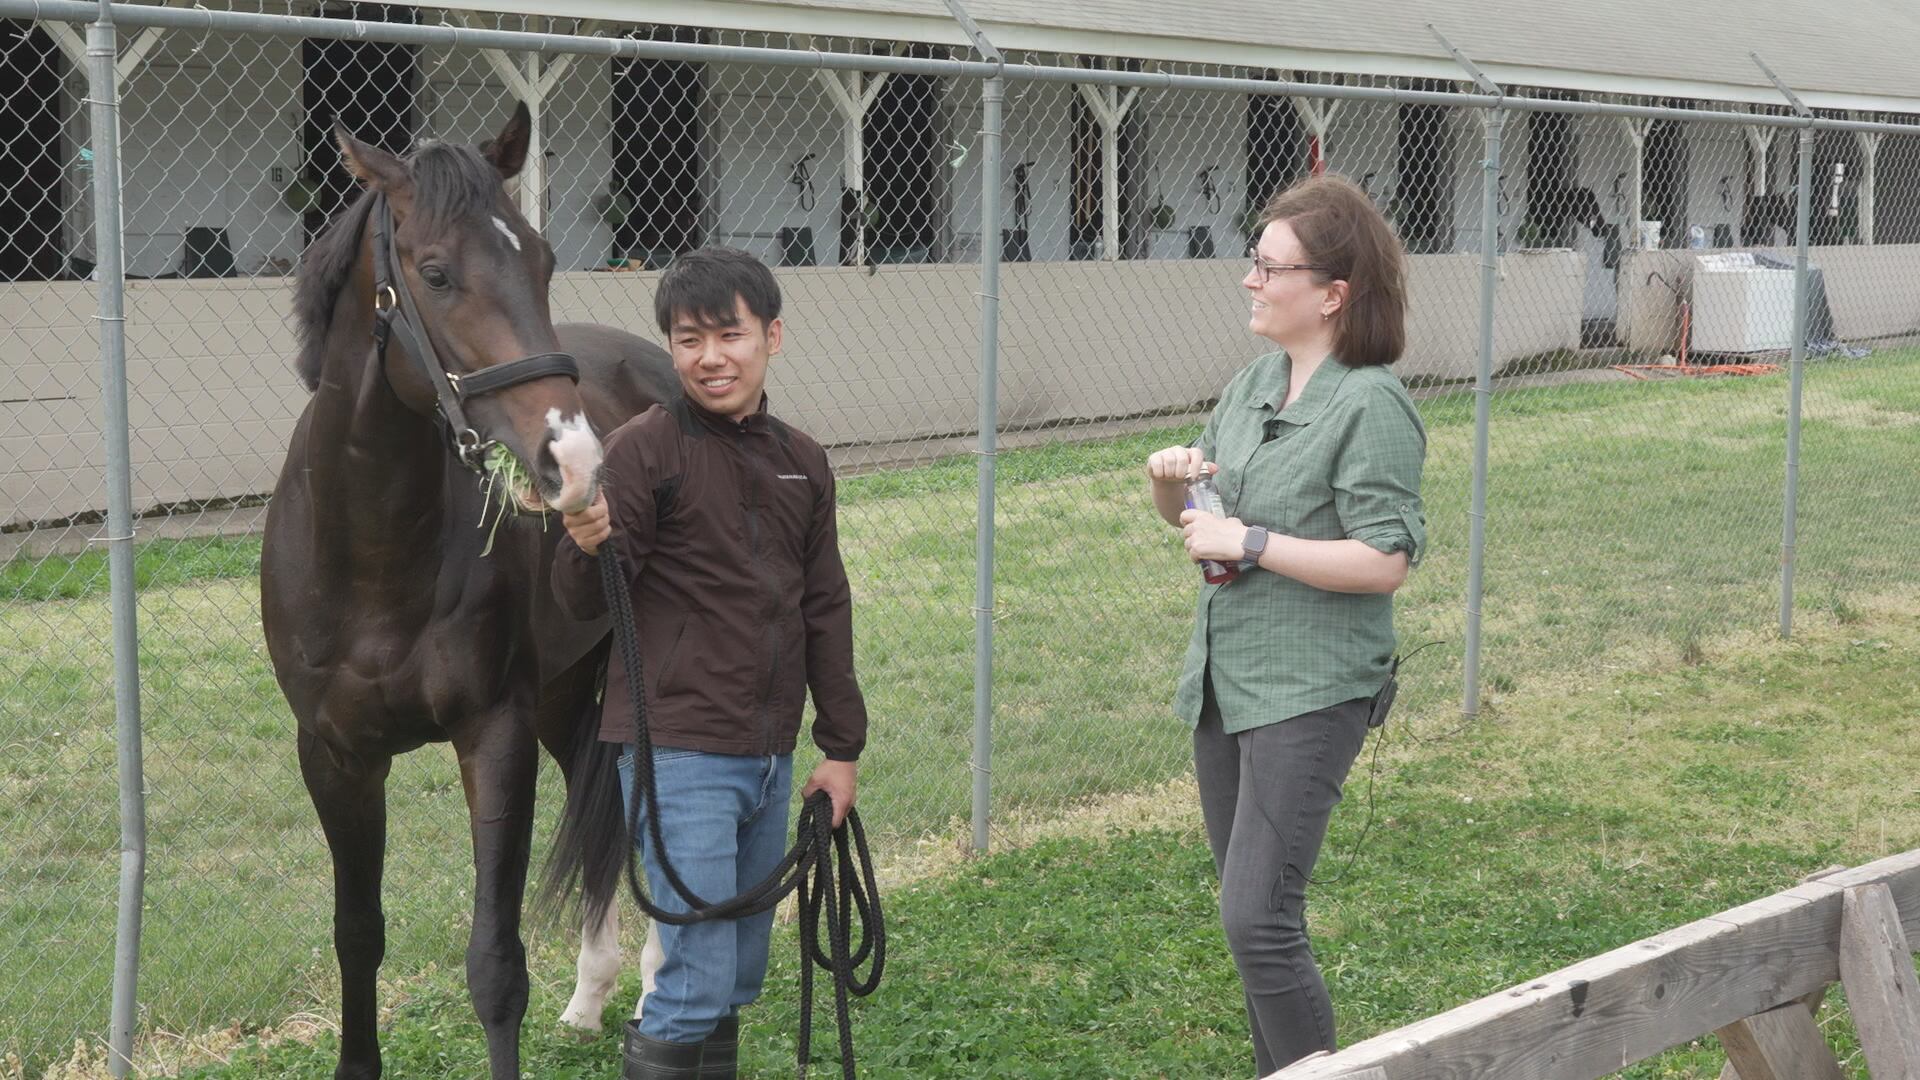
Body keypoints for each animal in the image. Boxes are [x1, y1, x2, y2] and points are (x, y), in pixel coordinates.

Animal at [261, 102, 674, 1079]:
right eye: (437, 272)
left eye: (543, 260)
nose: (576, 462)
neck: (370, 559)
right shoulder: (334, 757)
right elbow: (357, 933)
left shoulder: (494, 735)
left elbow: (494, 963)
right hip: (569, 692)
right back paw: (592, 994)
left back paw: (653, 987)